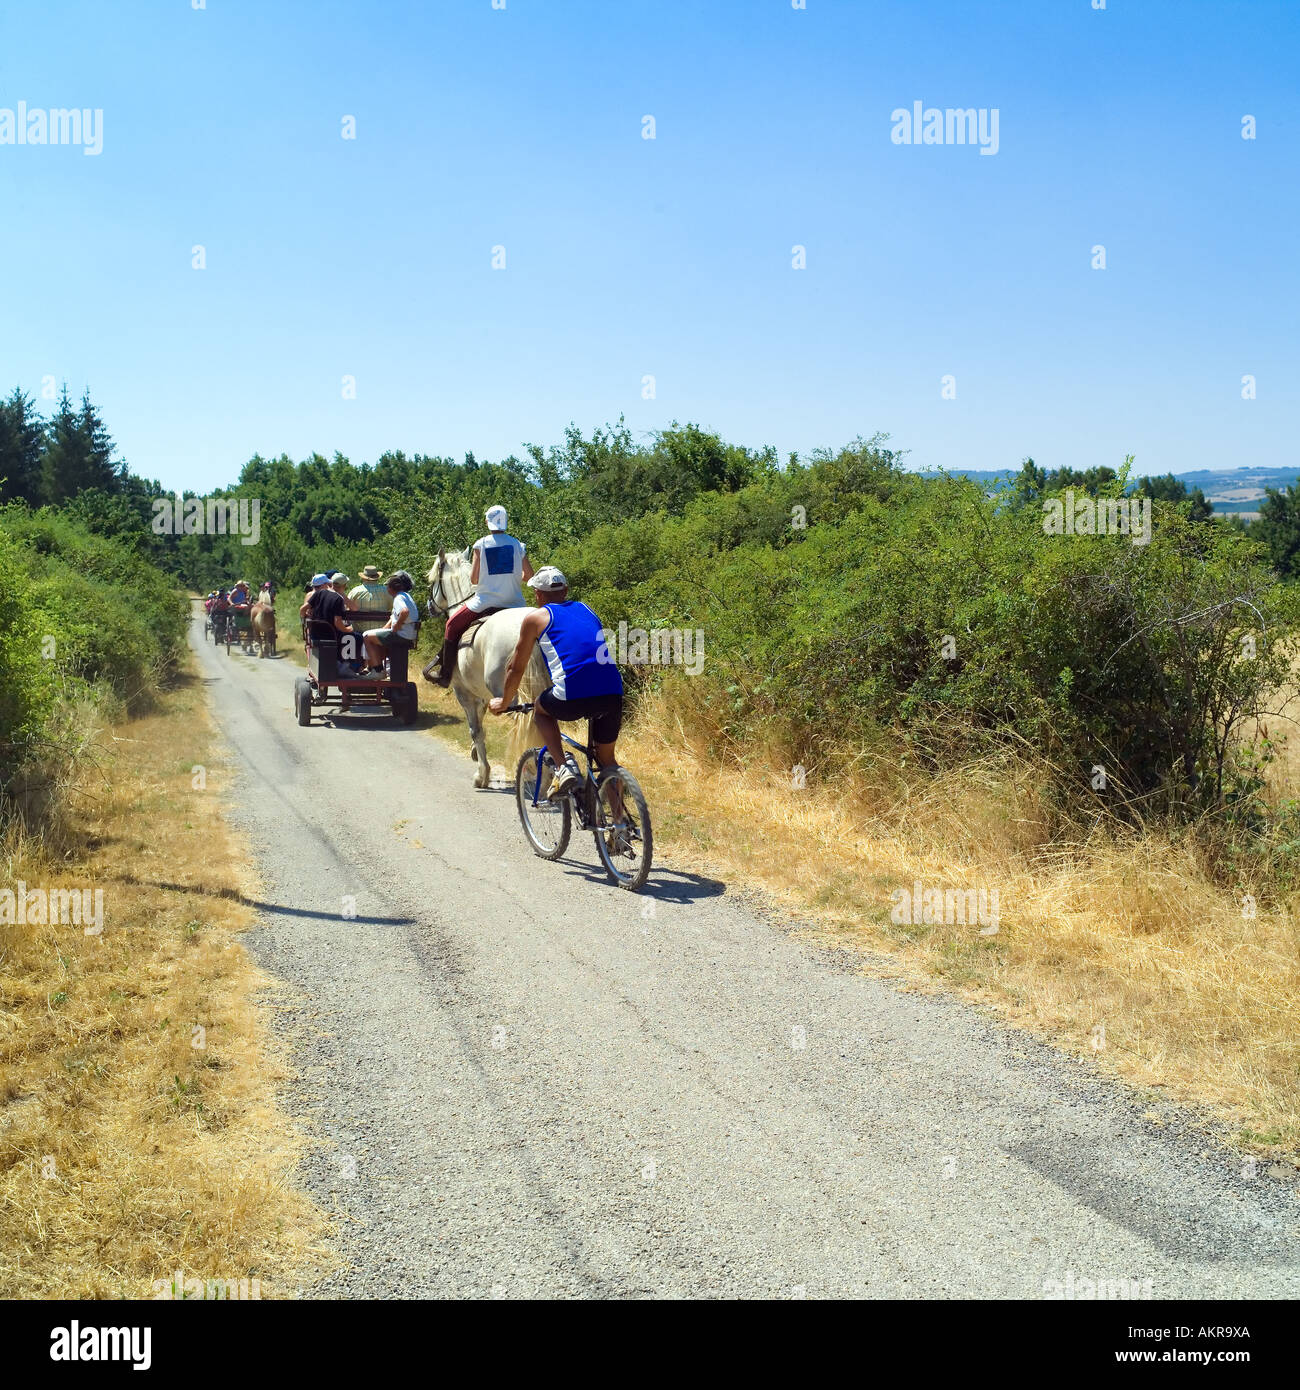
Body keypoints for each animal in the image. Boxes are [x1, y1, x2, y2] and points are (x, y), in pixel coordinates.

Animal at [428, 547, 547, 789]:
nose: (429, 607)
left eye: (433, 581)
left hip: (508, 696)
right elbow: (480, 725)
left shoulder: (463, 692)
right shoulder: (481, 694)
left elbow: (476, 730)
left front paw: (482, 775)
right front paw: (476, 755)